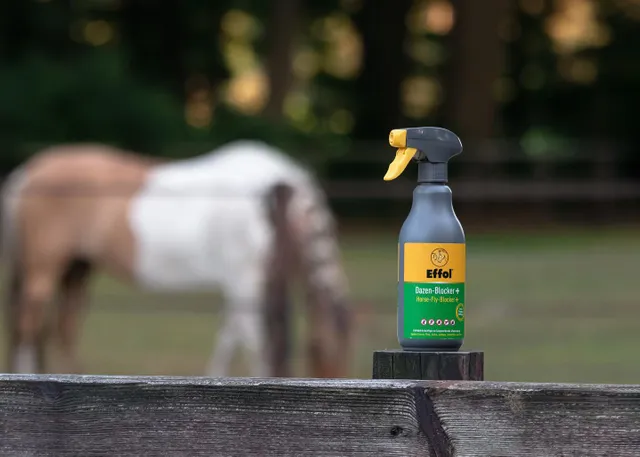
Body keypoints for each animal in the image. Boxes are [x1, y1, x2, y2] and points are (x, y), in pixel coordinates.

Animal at [0, 140, 353, 378]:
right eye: (324, 353)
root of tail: (28, 172)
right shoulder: (244, 280)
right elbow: (252, 342)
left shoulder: (242, 286)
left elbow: (230, 335)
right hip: (44, 269)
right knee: (29, 327)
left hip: (76, 269)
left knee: (63, 329)